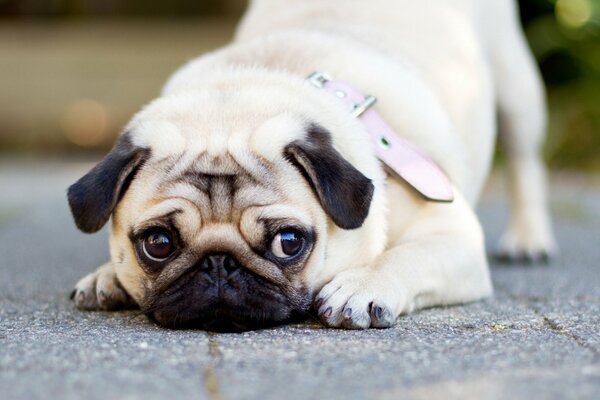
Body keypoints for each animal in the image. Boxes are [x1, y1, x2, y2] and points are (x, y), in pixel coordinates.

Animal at [68, 0, 556, 332]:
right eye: (158, 243)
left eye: (288, 242)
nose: (219, 264)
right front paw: (107, 275)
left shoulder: (453, 236)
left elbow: (408, 255)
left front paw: (364, 285)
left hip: (517, 90)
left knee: (525, 163)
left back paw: (529, 238)